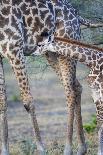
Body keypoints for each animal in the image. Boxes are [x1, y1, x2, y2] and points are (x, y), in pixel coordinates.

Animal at [0, 0, 102, 154]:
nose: (37, 44)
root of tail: (76, 14)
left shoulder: (14, 49)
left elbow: (28, 101)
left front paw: (41, 149)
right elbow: (2, 101)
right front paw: (4, 151)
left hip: (65, 45)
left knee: (70, 91)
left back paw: (68, 148)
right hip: (51, 53)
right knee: (77, 86)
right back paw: (81, 148)